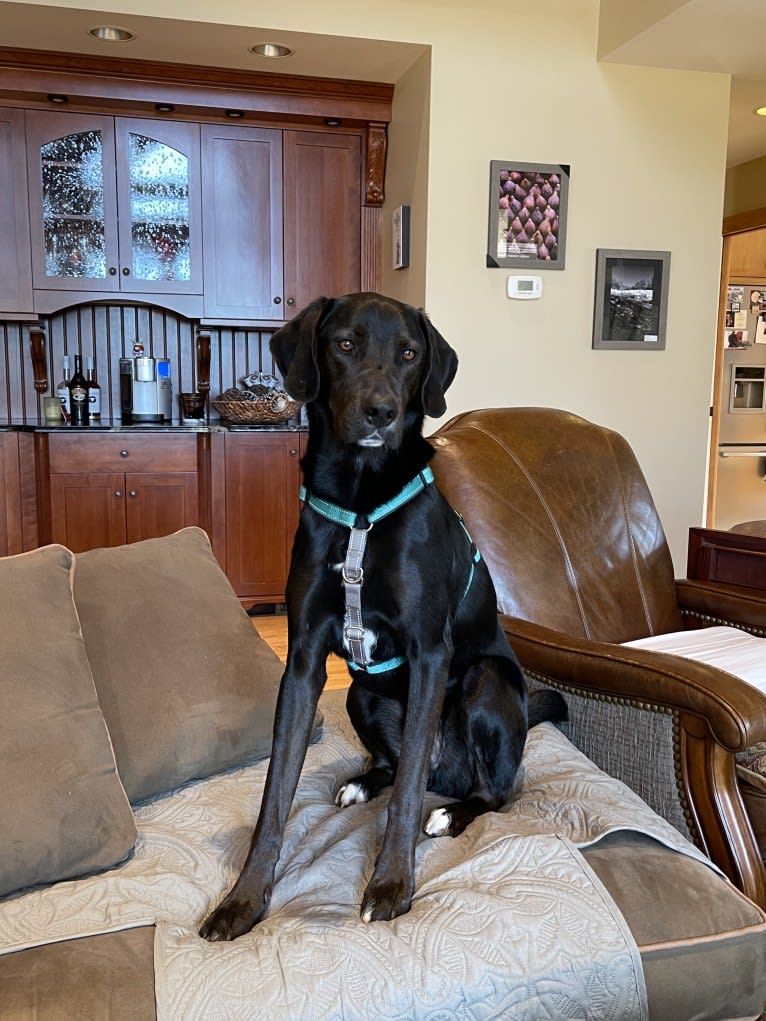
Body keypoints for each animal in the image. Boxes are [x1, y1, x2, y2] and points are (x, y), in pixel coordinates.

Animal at [201, 289, 567, 939]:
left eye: (409, 354)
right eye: (345, 343)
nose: (381, 412)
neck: (359, 504)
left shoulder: (430, 654)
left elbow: (407, 799)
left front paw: (392, 885)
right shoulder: (303, 662)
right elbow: (275, 797)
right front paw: (243, 900)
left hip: (486, 681)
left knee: (487, 790)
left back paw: (452, 812)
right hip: (360, 694)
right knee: (396, 766)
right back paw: (363, 781)